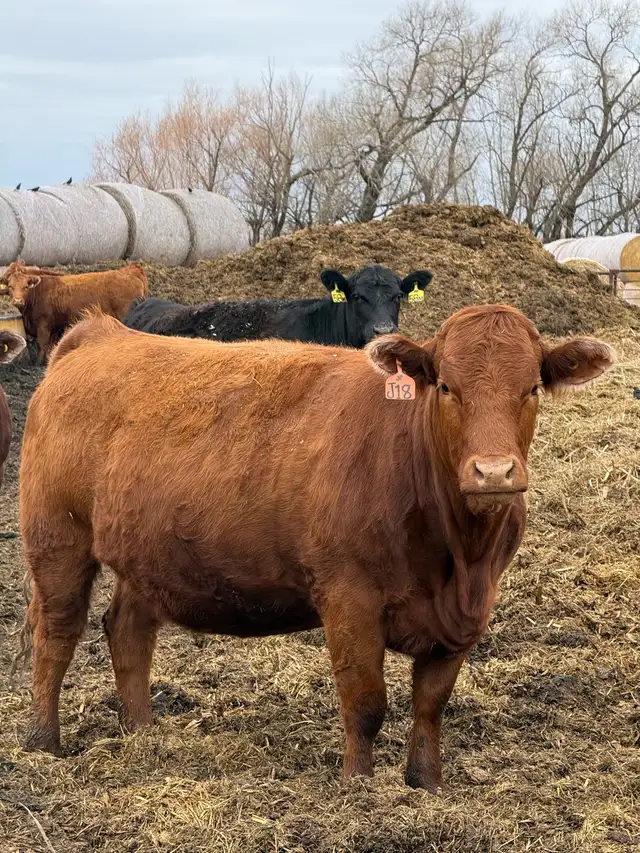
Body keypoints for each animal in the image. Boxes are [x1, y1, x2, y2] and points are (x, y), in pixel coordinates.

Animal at [0, 260, 148, 362]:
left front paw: (37, 363)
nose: (17, 301)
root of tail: (131, 270)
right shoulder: (55, 327)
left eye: (25, 286)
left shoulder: (43, 325)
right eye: (10, 286)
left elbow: (42, 345)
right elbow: (51, 347)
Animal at [19, 306, 614, 789]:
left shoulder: (466, 613)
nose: (493, 473)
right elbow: (365, 702)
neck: (459, 558)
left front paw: (425, 784)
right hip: (57, 539)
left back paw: (143, 731)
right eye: (446, 387)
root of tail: (100, 333)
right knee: (57, 632)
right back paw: (44, 742)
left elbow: (430, 704)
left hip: (146, 554)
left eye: (531, 387)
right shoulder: (349, 597)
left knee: (128, 631)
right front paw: (358, 788)